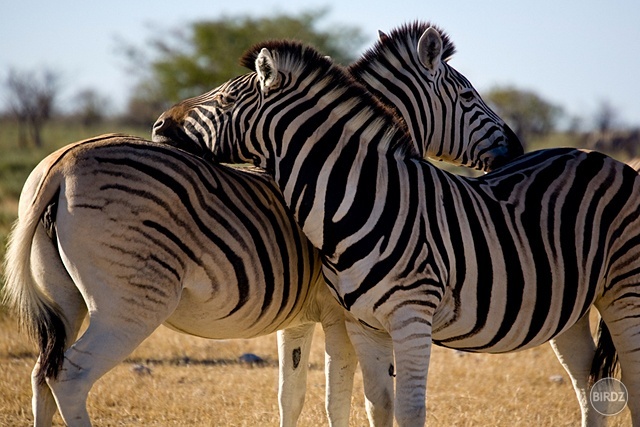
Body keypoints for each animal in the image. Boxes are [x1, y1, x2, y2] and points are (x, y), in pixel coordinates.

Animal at [154, 40, 640, 427]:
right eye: (467, 94)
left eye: (222, 99)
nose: (158, 125)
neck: (360, 197)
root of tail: (602, 157)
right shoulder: (350, 322)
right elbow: (339, 401)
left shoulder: (395, 320)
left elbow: (373, 406)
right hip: (569, 306)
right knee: (589, 385)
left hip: (624, 293)